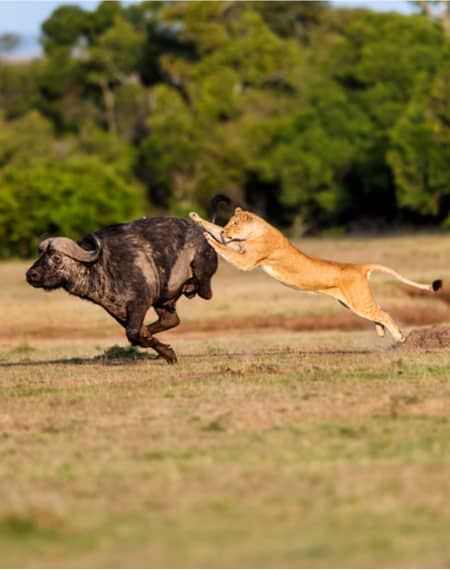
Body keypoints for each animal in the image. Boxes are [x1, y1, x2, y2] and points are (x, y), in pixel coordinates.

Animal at [26, 215, 218, 362]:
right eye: (41, 255)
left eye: (56, 258)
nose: (31, 274)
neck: (101, 264)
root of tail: (201, 235)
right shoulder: (118, 311)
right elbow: (137, 335)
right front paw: (164, 350)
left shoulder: (140, 302)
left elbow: (132, 333)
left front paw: (163, 349)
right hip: (163, 302)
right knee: (171, 320)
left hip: (200, 272)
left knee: (205, 292)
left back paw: (190, 285)